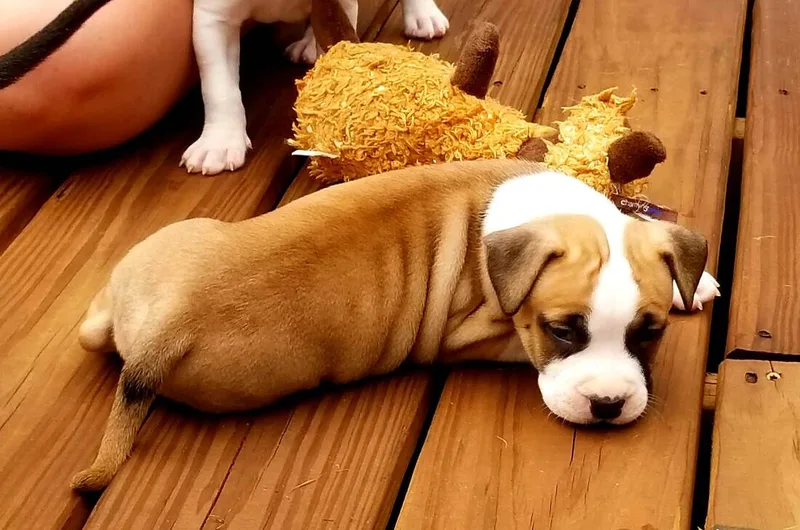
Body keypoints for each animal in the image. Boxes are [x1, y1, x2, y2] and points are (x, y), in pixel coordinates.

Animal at [69, 158, 719, 492]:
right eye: (560, 331)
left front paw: (696, 282)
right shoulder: (483, 335)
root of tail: (166, 330)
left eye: (650, 331)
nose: (608, 405)